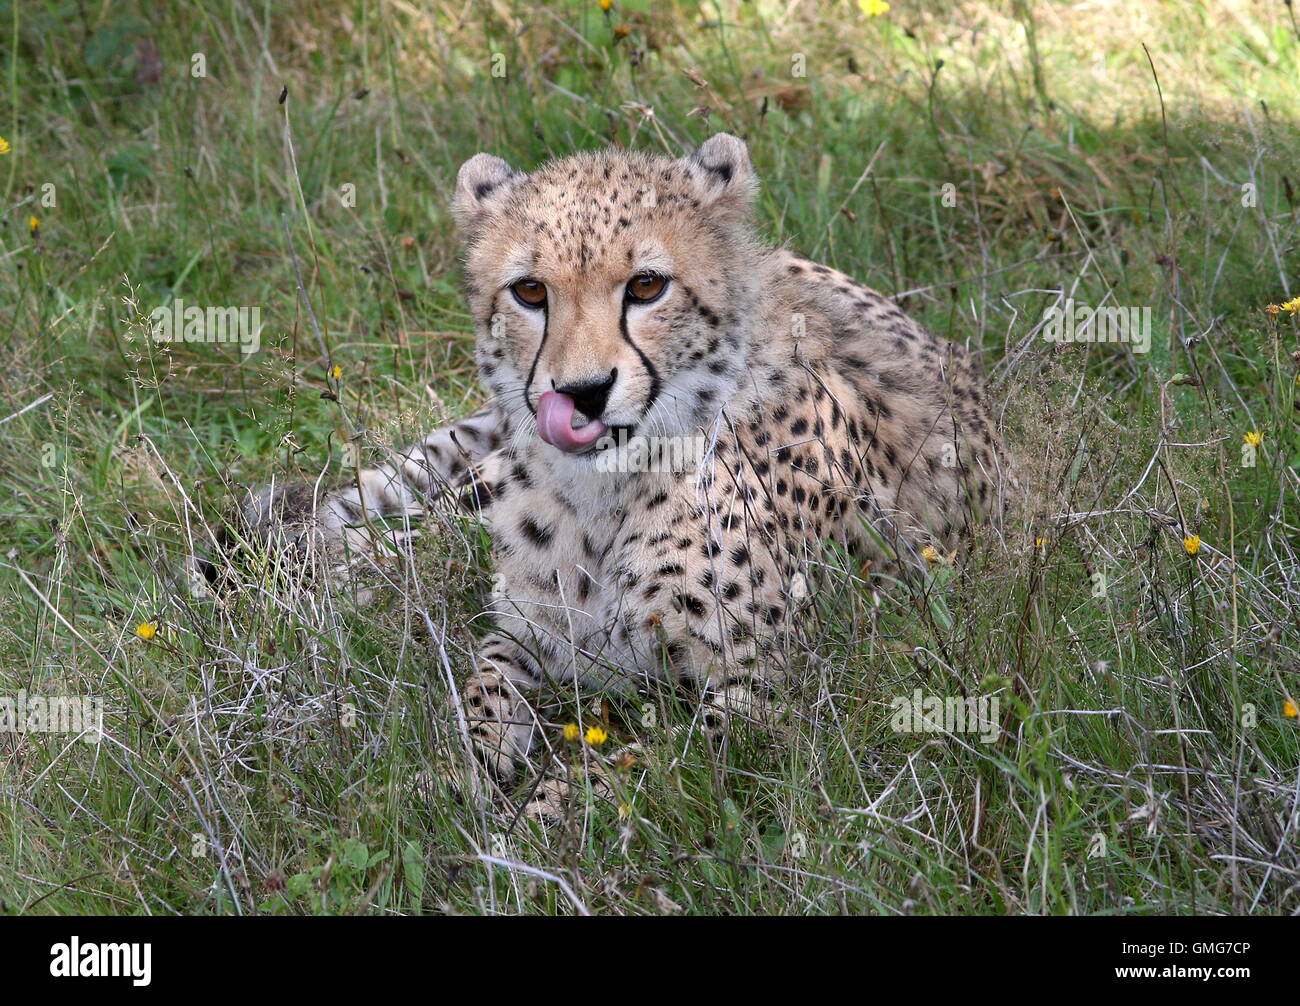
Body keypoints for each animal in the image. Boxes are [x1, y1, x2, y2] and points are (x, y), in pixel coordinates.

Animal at [207, 133, 1013, 817]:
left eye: (648, 286)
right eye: (530, 292)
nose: (583, 392)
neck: (609, 489)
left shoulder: (759, 685)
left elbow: (647, 762)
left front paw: (547, 812)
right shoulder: (530, 629)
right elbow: (481, 689)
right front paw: (453, 774)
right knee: (399, 531)